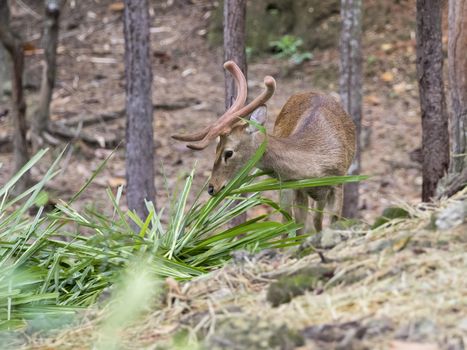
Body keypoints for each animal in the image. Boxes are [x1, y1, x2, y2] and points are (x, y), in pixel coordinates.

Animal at [174, 61, 356, 234]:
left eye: (228, 152)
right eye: (216, 149)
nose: (212, 188)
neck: (317, 167)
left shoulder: (338, 181)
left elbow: (331, 222)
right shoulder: (296, 187)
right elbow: (298, 228)